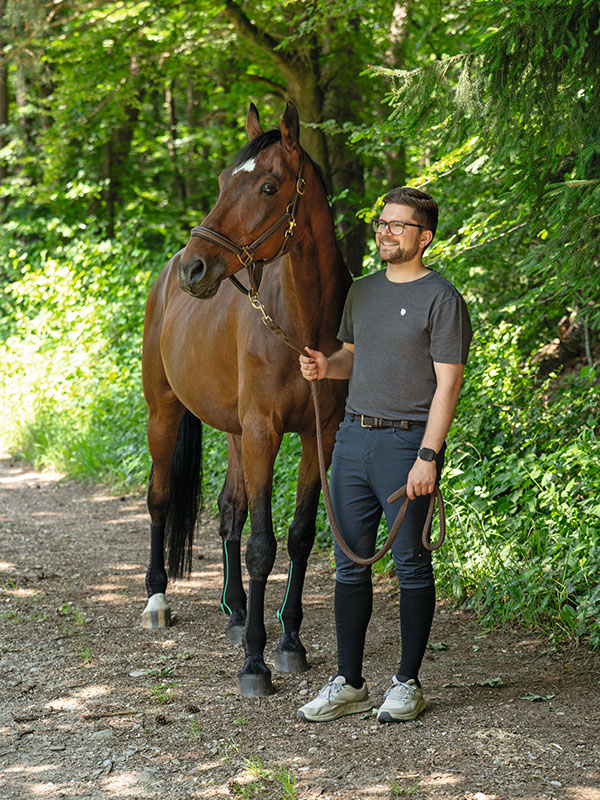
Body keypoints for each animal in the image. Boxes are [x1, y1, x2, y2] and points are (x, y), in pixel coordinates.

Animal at [140, 101, 351, 697]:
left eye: (267, 186)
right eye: (219, 181)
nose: (194, 268)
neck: (303, 327)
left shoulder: (318, 436)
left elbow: (298, 537)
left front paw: (289, 643)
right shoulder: (263, 431)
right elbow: (263, 544)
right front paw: (255, 664)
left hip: (235, 433)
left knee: (228, 510)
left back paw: (235, 611)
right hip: (165, 414)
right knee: (160, 498)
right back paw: (158, 600)